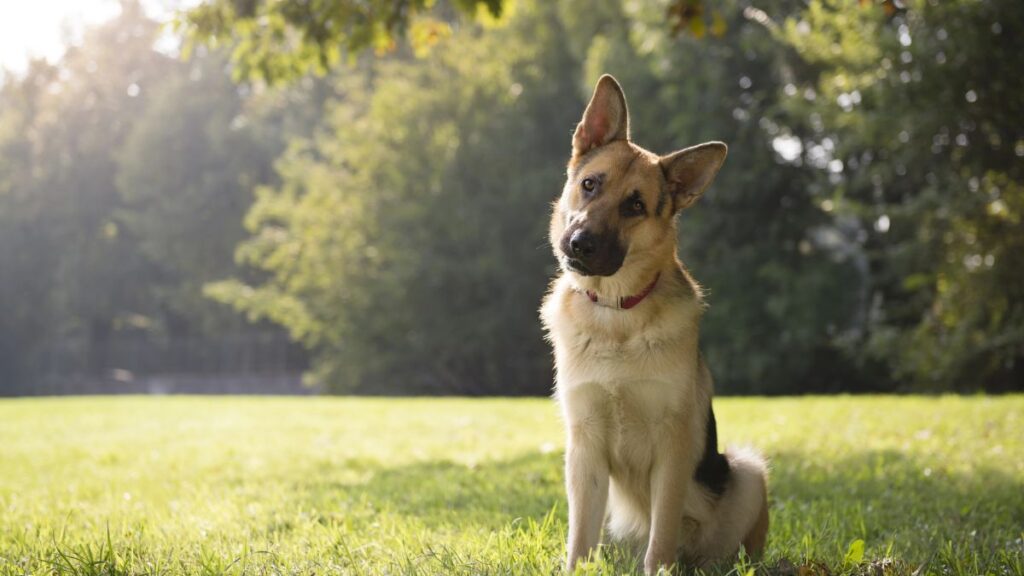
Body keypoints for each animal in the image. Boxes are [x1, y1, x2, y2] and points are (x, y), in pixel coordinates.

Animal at [544, 75, 770, 569]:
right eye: (590, 184)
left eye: (635, 206)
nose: (580, 243)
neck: (616, 314)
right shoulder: (584, 450)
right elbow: (579, 540)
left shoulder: (673, 448)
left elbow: (661, 537)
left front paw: (660, 569)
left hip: (747, 471)